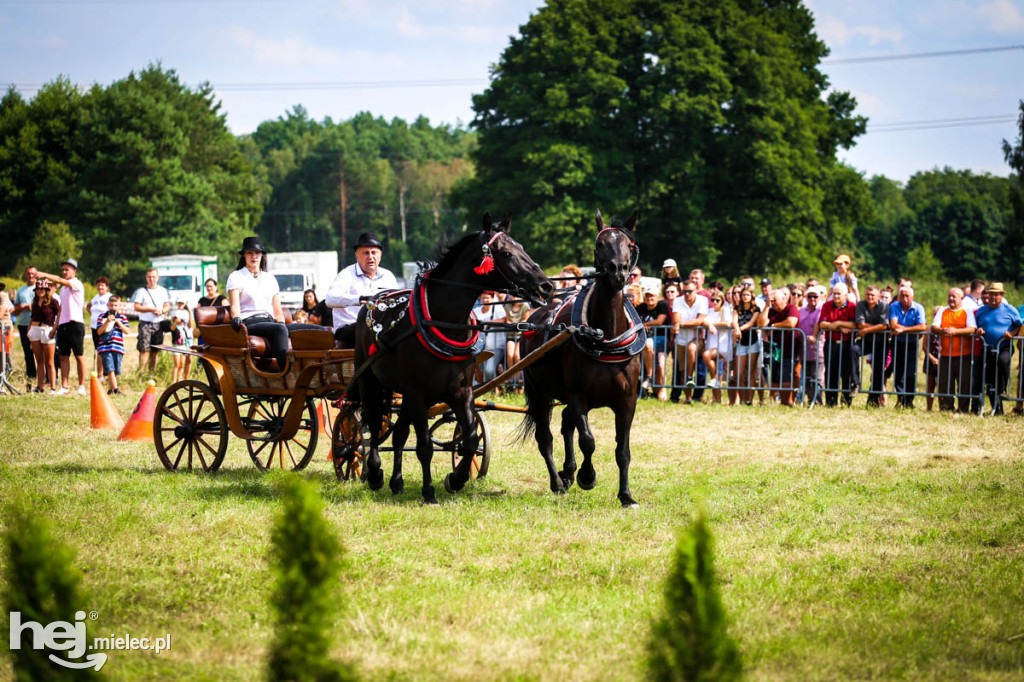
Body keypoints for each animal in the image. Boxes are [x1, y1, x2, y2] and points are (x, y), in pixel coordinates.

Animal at [356, 215, 557, 501]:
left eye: (522, 248)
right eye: (507, 253)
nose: (546, 285)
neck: (442, 321)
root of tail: (371, 301)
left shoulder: (460, 390)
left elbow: (470, 440)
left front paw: (456, 479)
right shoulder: (418, 393)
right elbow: (425, 446)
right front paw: (429, 491)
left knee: (399, 434)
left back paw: (397, 482)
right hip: (369, 380)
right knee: (372, 424)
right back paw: (373, 473)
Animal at [520, 210, 638, 503]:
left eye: (628, 244)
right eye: (600, 244)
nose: (617, 270)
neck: (605, 336)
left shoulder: (627, 400)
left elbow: (623, 450)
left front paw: (626, 495)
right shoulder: (577, 396)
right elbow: (588, 440)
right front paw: (587, 476)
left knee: (565, 423)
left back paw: (567, 471)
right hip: (539, 391)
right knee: (546, 437)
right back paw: (557, 481)